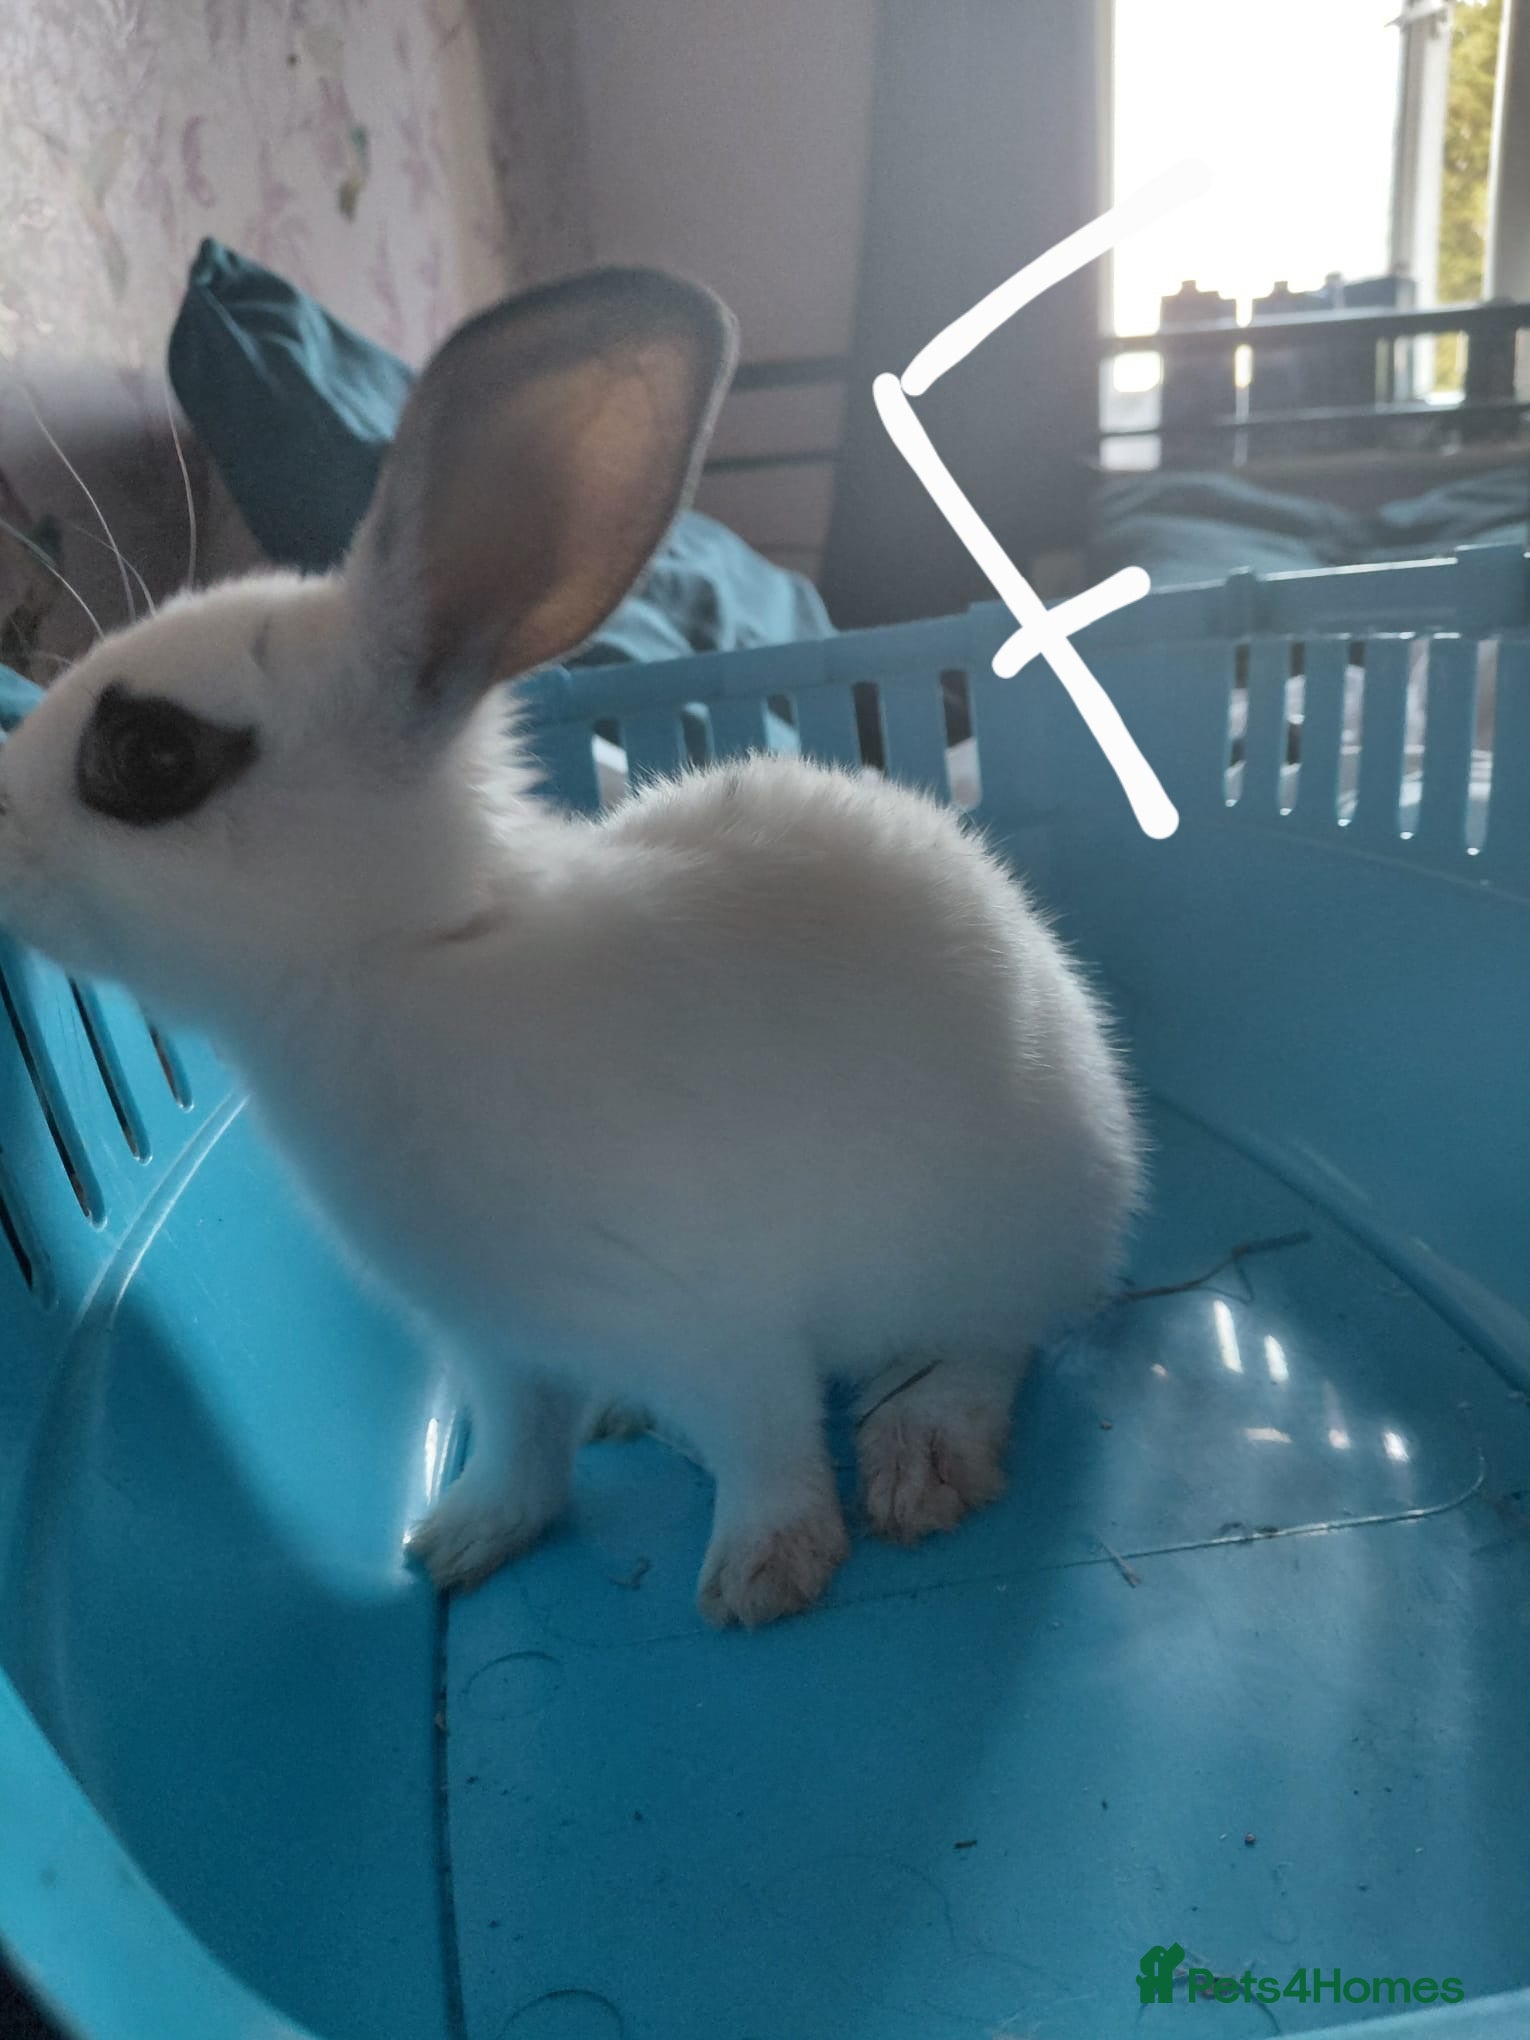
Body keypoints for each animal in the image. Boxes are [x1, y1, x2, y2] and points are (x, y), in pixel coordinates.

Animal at [0, 267, 1142, 1628]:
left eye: (151, 756)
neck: (403, 961)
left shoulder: (718, 1323)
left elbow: (764, 1444)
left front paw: (761, 1578)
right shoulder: (492, 1340)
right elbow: (520, 1447)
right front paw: (460, 1541)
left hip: (984, 1255)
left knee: (989, 1348)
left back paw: (922, 1462)